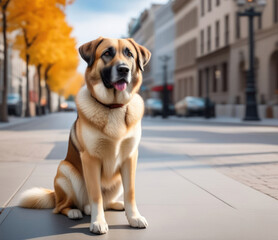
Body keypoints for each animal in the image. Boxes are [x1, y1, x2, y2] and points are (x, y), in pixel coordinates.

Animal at [18, 37, 151, 234]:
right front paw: (98, 222)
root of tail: (55, 194)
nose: (123, 69)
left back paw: (115, 204)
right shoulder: (90, 159)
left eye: (129, 54)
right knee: (62, 206)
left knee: (106, 202)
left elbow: (130, 192)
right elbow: (96, 194)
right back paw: (75, 211)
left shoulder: (130, 158)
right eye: (107, 53)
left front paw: (134, 217)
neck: (113, 107)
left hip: (117, 180)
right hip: (65, 170)